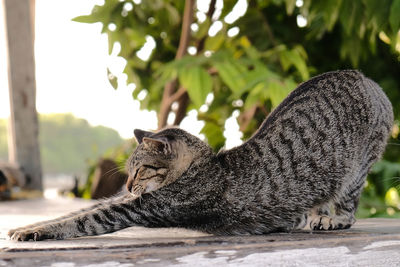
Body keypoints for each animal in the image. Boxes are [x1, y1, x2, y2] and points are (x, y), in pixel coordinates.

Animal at [9, 70, 394, 242]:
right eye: (128, 174)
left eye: (139, 171)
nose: (129, 187)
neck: (203, 165)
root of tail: (365, 77)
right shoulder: (125, 200)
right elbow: (78, 210)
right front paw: (25, 225)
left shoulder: (140, 207)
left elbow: (82, 219)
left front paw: (34, 231)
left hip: (356, 170)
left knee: (349, 206)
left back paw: (332, 218)